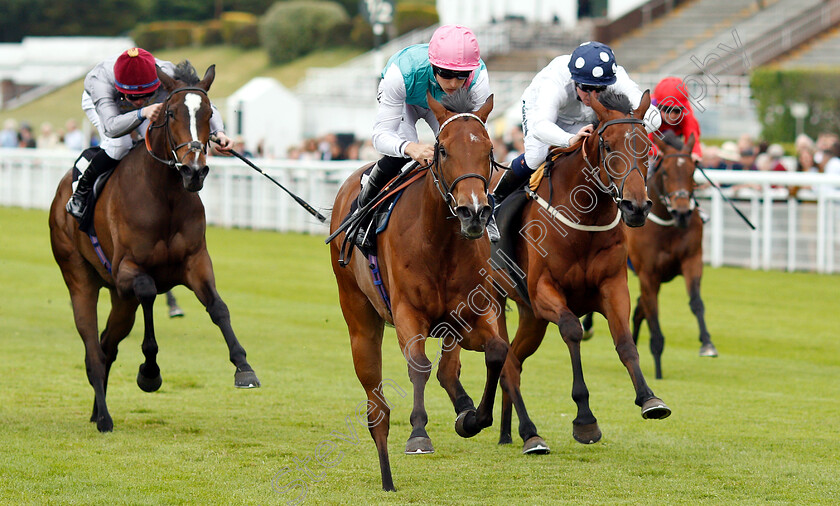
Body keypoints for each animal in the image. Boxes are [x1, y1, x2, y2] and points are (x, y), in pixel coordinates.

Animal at [48, 62, 260, 430]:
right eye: (171, 112)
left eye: (209, 113)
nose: (194, 170)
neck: (165, 196)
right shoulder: (127, 271)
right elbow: (148, 291)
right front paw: (149, 373)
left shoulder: (195, 262)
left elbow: (218, 307)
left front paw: (243, 367)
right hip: (79, 278)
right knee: (92, 348)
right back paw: (104, 418)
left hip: (121, 301)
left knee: (106, 346)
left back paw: (97, 410)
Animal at [332, 90, 508, 490]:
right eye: (442, 149)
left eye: (489, 149)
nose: (474, 212)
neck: (439, 241)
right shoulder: (408, 313)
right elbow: (419, 366)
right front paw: (418, 434)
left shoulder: (472, 312)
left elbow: (495, 352)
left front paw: (472, 418)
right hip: (360, 320)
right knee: (377, 407)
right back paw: (386, 476)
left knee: (449, 370)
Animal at [492, 89, 668, 452]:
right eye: (608, 146)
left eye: (646, 146)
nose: (636, 207)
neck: (584, 221)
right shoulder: (544, 291)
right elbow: (573, 330)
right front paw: (585, 419)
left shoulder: (613, 286)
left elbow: (625, 341)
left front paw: (649, 398)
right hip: (495, 302)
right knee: (505, 362)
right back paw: (530, 434)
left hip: (531, 318)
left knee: (514, 359)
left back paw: (510, 432)